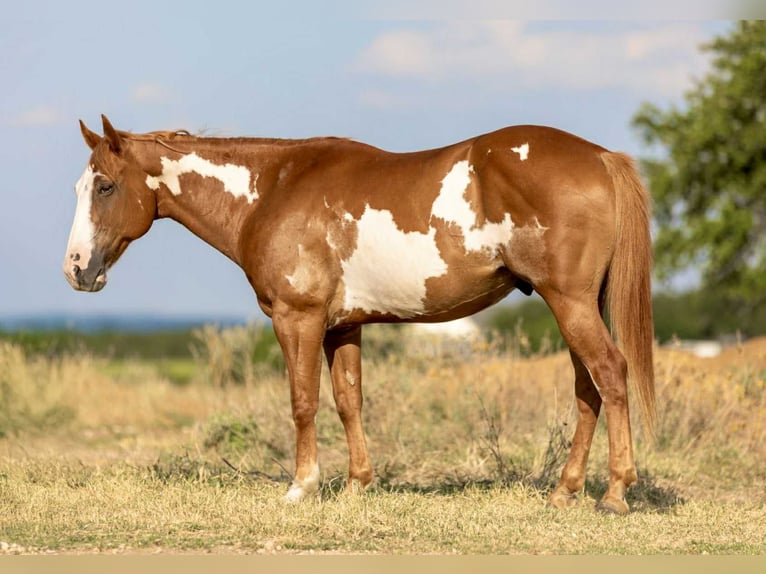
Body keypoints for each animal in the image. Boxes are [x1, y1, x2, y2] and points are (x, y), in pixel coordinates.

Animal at [64, 115, 655, 514]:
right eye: (80, 186)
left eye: (106, 186)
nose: (76, 269)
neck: (273, 190)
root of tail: (600, 157)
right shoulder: (343, 327)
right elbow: (349, 401)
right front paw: (357, 484)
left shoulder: (296, 319)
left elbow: (303, 401)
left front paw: (302, 486)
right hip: (578, 305)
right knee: (587, 389)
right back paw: (564, 491)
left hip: (569, 302)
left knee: (610, 375)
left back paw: (615, 493)